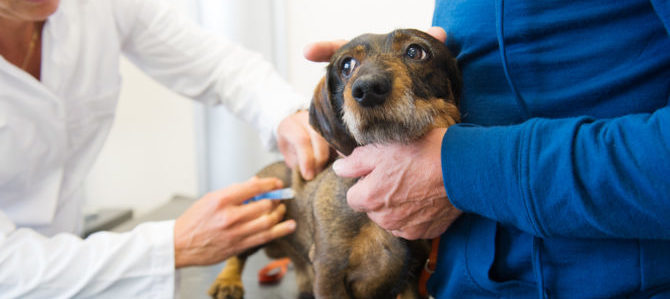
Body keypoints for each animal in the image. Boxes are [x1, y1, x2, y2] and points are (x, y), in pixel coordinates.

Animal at [210, 28, 462, 299]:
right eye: (347, 65)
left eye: (416, 51)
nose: (367, 89)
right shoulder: (329, 271)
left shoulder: (412, 280)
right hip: (262, 215)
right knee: (238, 253)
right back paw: (228, 281)